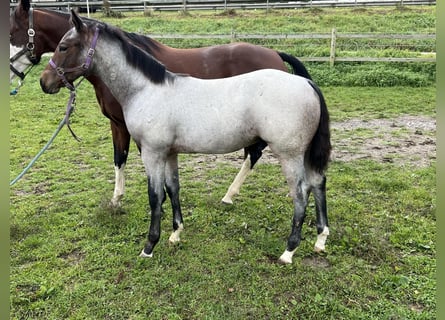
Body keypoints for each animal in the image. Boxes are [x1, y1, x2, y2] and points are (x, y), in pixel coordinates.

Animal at [7, 0, 312, 206]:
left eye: (11, 33)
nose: (44, 82)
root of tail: (275, 54)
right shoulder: (118, 125)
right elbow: (119, 158)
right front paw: (117, 199)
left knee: (254, 154)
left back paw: (229, 194)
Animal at [39, 11, 330, 264]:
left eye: (64, 46)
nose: (45, 81)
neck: (145, 89)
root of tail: (306, 84)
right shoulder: (169, 153)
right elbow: (173, 189)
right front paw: (176, 234)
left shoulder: (152, 153)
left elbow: (155, 196)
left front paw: (149, 246)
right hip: (304, 154)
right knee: (318, 183)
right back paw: (320, 239)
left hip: (289, 155)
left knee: (300, 193)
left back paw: (289, 251)